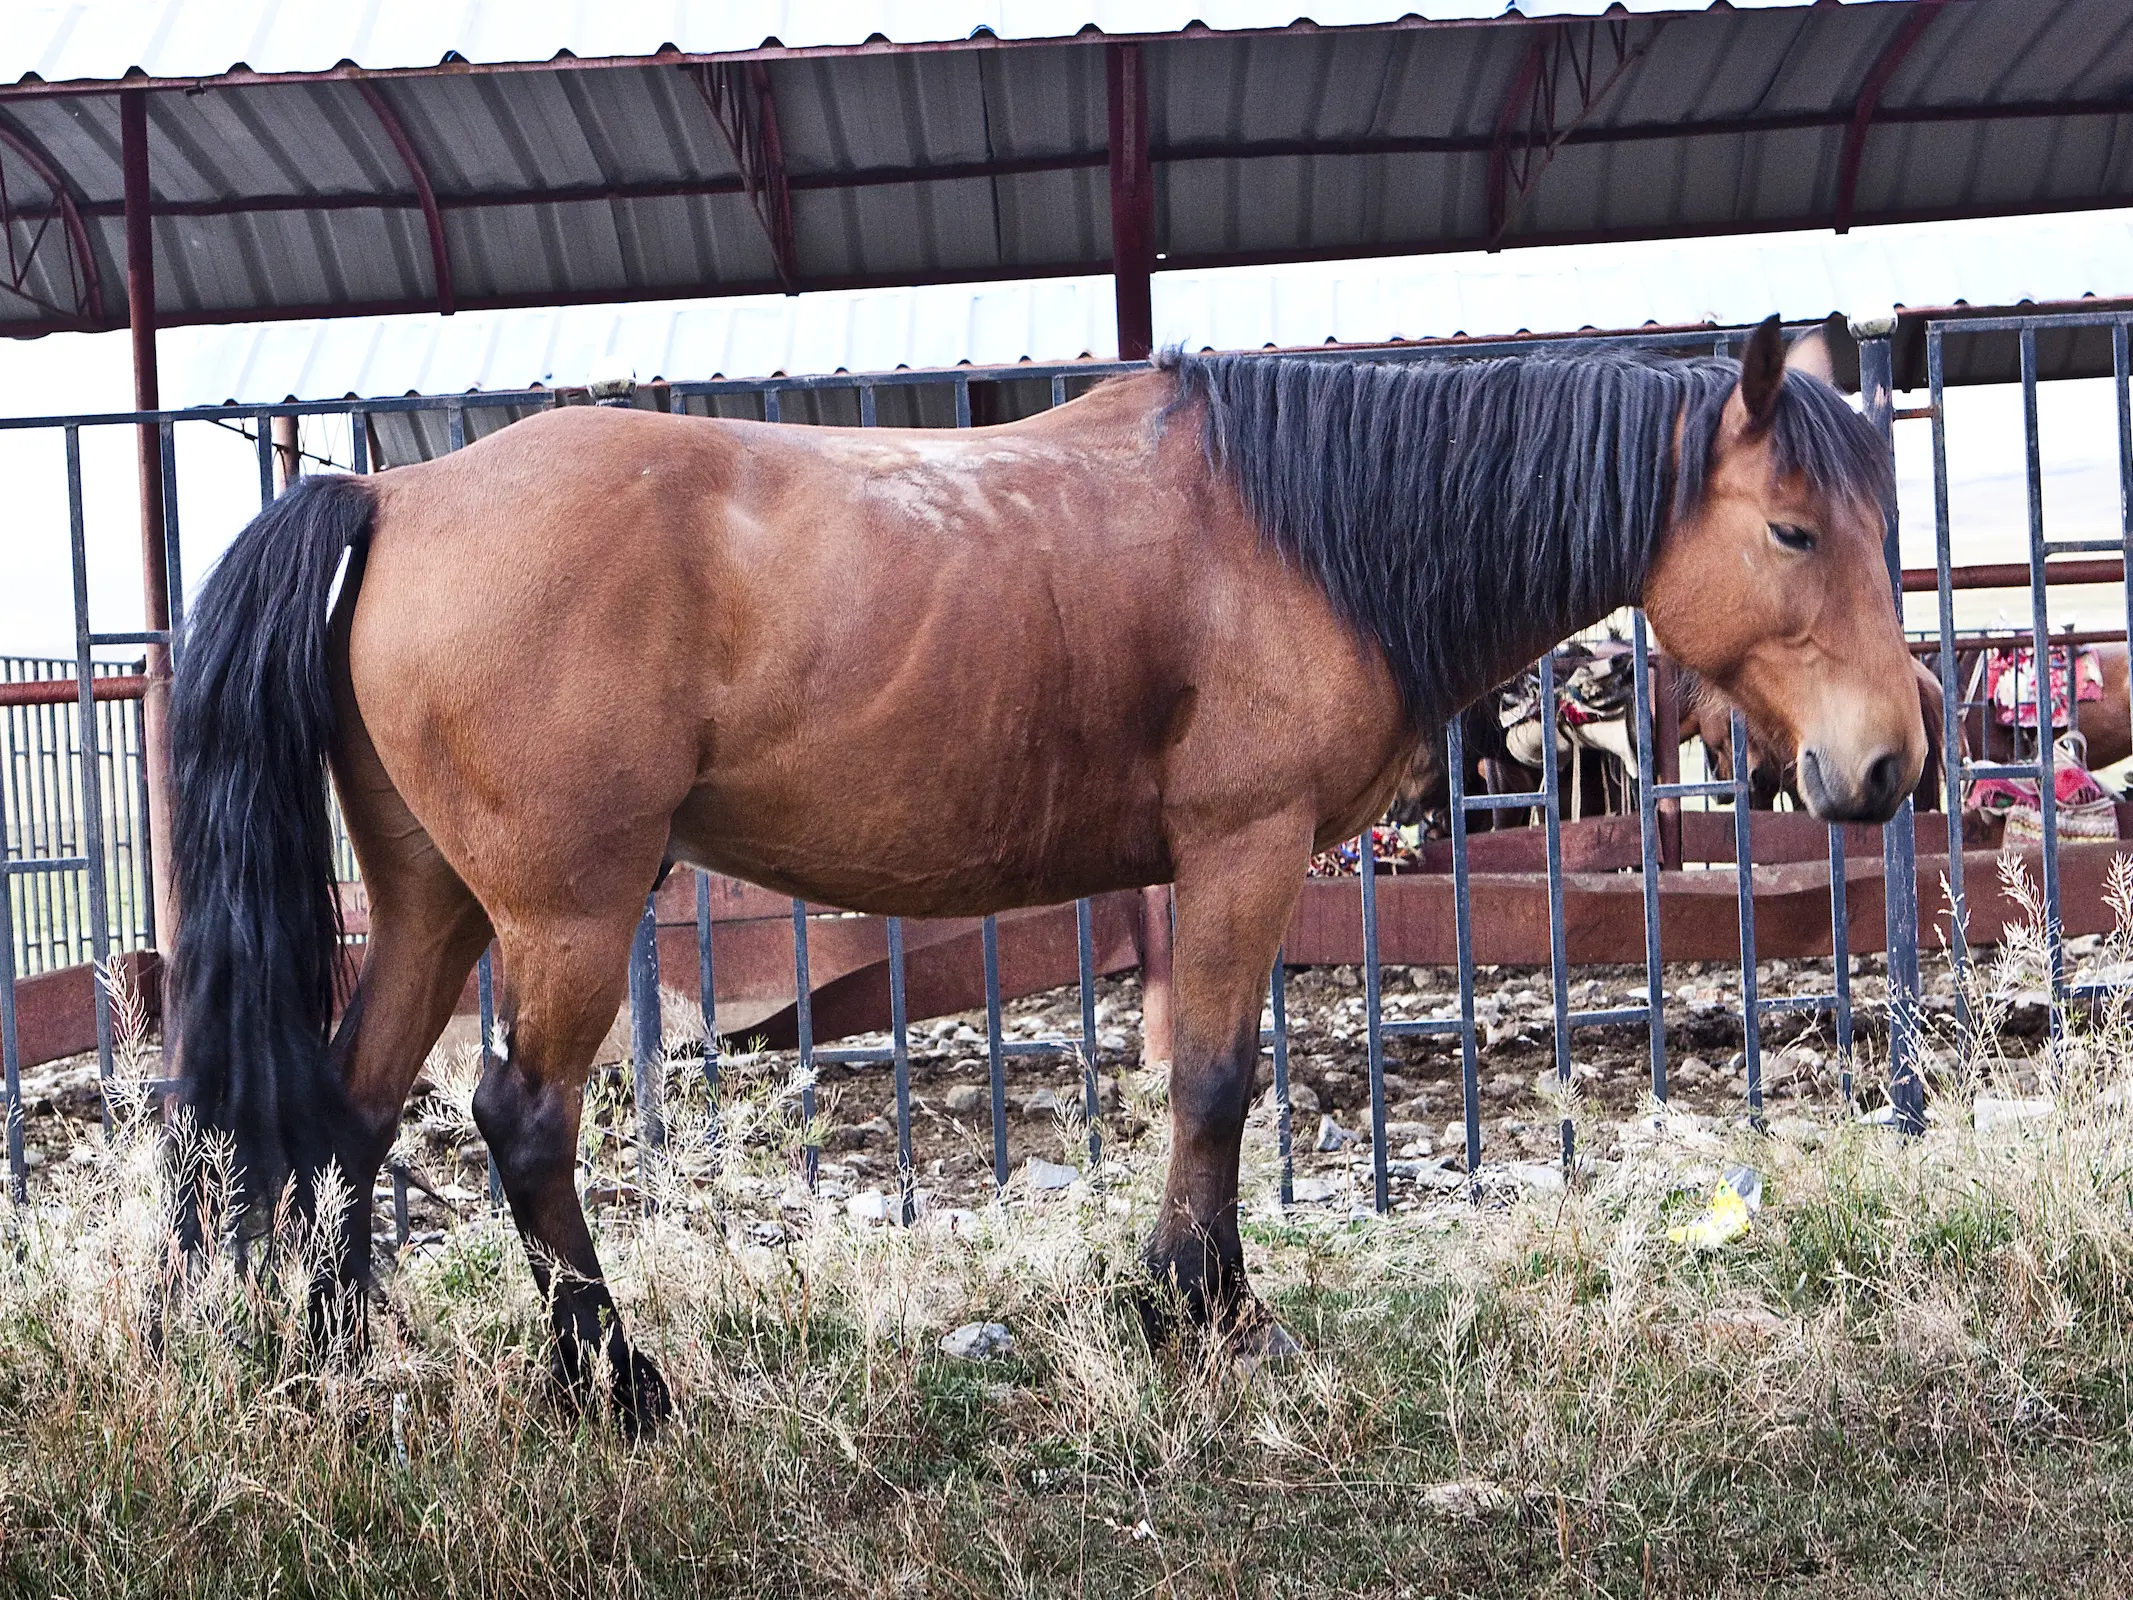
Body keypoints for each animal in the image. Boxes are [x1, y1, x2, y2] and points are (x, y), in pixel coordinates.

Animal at [174, 313, 1928, 1425]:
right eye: (1791, 531)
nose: (1888, 766)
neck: (1294, 535)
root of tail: (391, 487)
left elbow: (1204, 1072)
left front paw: (1192, 1299)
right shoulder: (1243, 847)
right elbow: (1214, 1078)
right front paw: (1205, 1313)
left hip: (435, 901)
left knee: (350, 1103)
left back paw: (341, 1359)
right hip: (566, 914)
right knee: (518, 1122)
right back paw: (619, 1385)